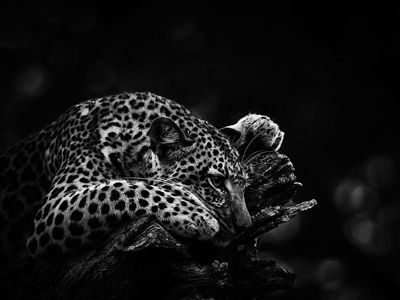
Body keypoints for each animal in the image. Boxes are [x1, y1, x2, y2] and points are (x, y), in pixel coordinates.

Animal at [0, 91, 284, 258]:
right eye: (215, 181)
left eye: (243, 185)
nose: (244, 226)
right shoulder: (52, 209)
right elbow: (117, 188)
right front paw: (190, 211)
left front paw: (258, 127)